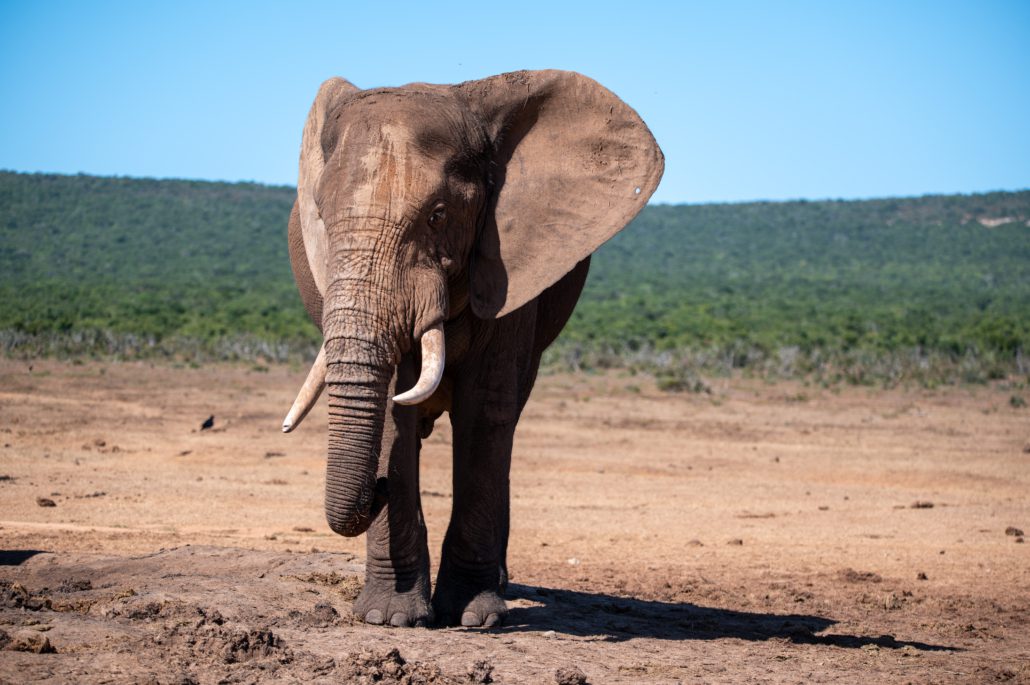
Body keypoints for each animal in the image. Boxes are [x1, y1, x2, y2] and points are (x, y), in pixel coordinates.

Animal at [281, 69, 663, 627]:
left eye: (439, 215)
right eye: (322, 218)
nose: (376, 490)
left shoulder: (508, 266)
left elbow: (484, 410)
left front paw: (473, 618)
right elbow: (394, 413)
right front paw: (390, 619)